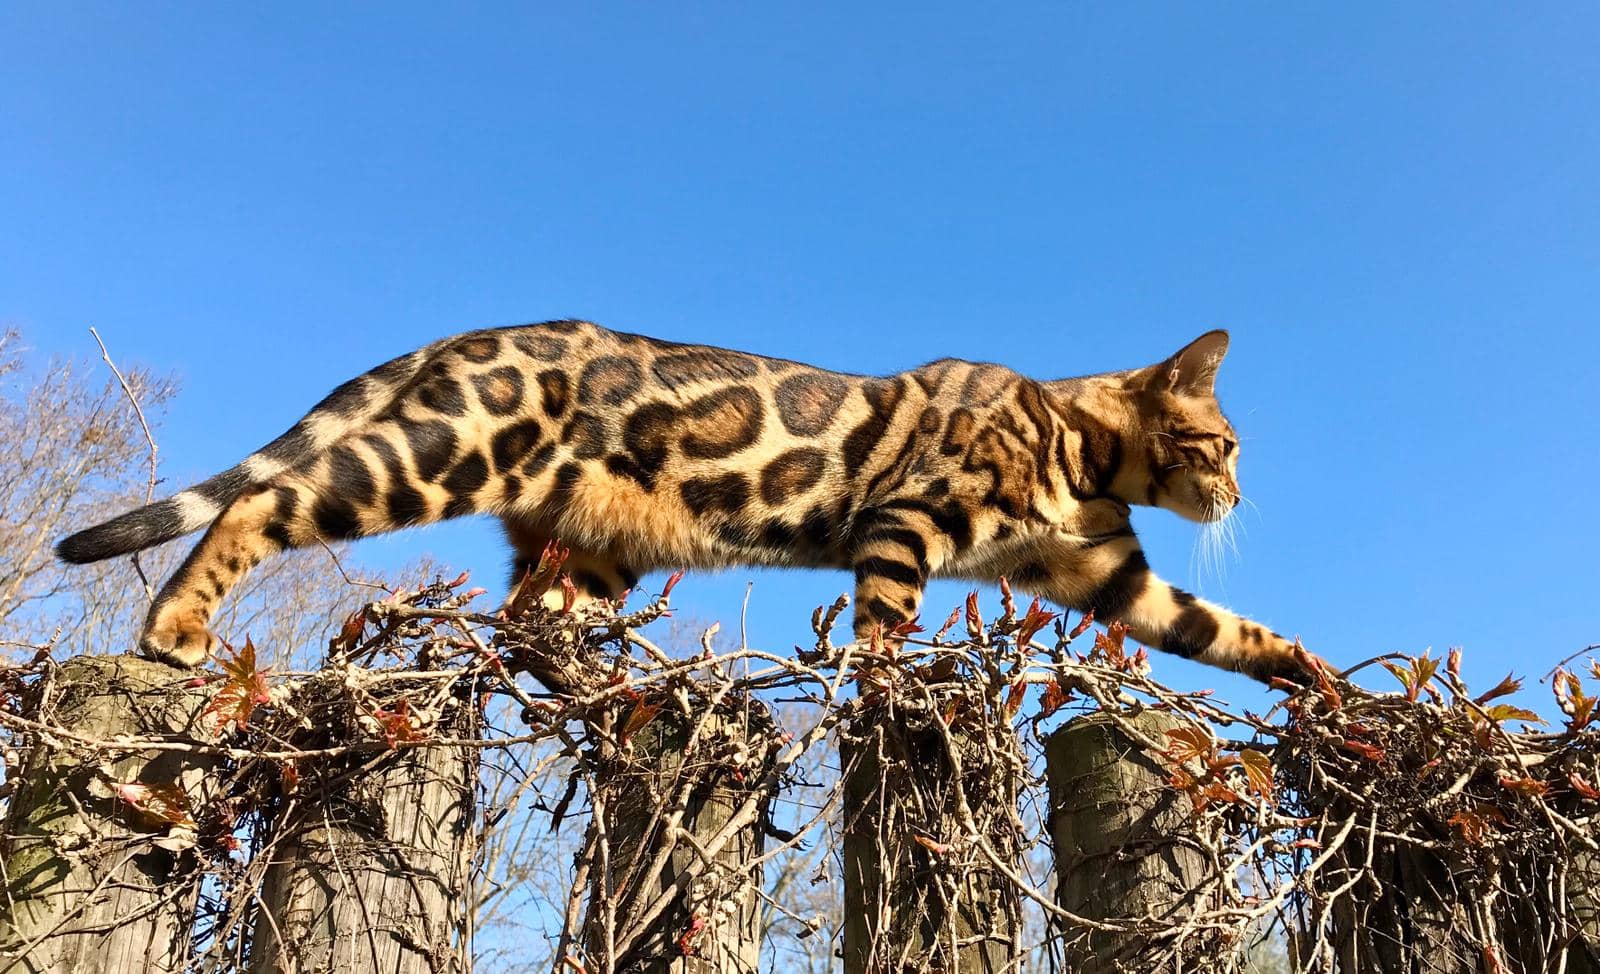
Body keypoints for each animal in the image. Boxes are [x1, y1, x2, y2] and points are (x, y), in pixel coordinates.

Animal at [59, 321, 1312, 684]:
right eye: (1225, 443)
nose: (1238, 491)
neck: (1075, 453)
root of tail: (466, 334)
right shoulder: (906, 523)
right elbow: (885, 632)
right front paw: (891, 697)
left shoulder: (1106, 575)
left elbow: (1234, 631)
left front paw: (1323, 688)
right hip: (444, 450)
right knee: (258, 505)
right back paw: (174, 627)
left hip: (585, 547)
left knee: (528, 623)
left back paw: (595, 680)